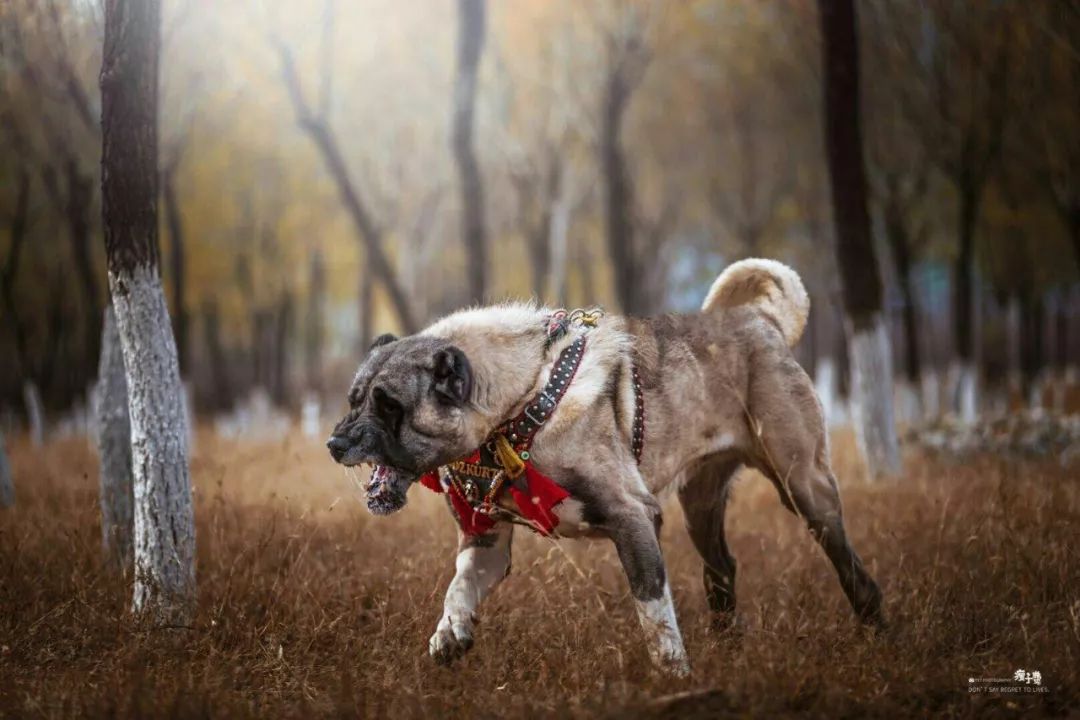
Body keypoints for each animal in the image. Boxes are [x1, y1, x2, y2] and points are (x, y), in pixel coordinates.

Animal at [328, 259, 885, 677]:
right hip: (701, 506)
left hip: (805, 488)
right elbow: (459, 587)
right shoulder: (485, 542)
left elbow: (653, 610)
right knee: (722, 569)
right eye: (354, 400)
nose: (336, 442)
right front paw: (450, 633)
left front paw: (673, 676)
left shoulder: (632, 518)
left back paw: (876, 637)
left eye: (389, 406)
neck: (521, 400)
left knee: (853, 572)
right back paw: (728, 647)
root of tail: (758, 322)